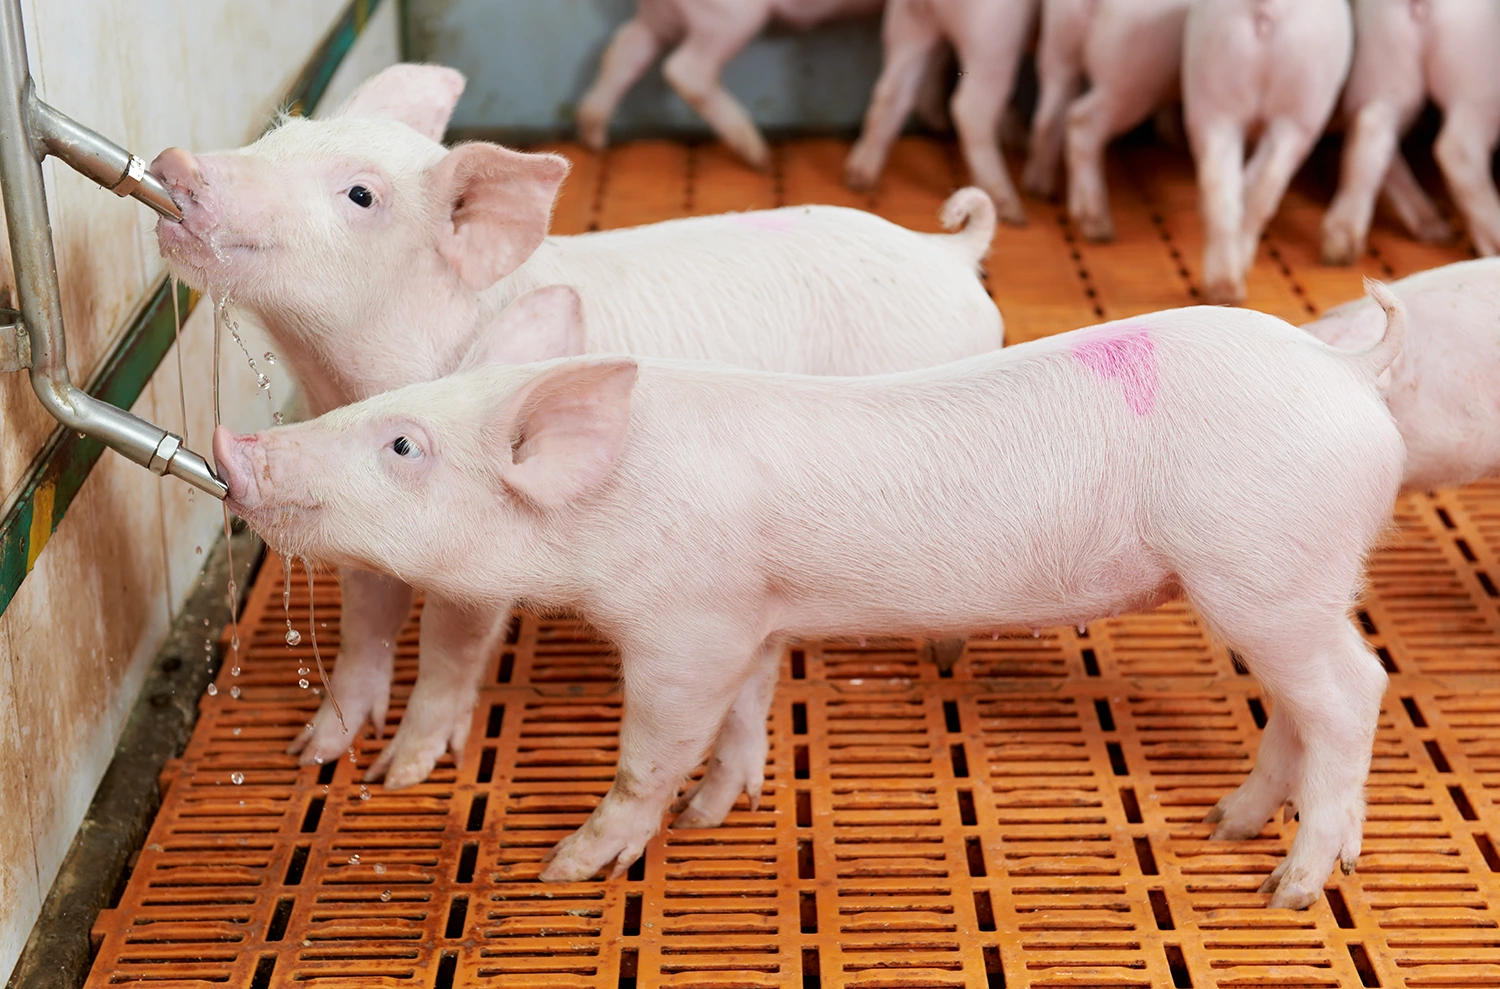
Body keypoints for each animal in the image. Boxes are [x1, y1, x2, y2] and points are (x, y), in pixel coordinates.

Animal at [149, 63, 1008, 786]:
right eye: (277, 133)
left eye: (360, 195)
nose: (179, 163)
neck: (340, 372)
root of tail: (952, 254)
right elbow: (366, 619)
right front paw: (315, 753)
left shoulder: (484, 539)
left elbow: (450, 645)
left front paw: (399, 773)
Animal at [219, 280, 1404, 912]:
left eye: (403, 443)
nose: (238, 445)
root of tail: (1347, 375)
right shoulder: (751, 612)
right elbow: (748, 706)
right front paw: (721, 806)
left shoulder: (682, 622)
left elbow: (653, 748)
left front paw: (568, 864)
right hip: (1275, 583)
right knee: (1297, 707)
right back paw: (1225, 825)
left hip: (1268, 568)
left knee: (1353, 689)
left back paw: (1292, 882)